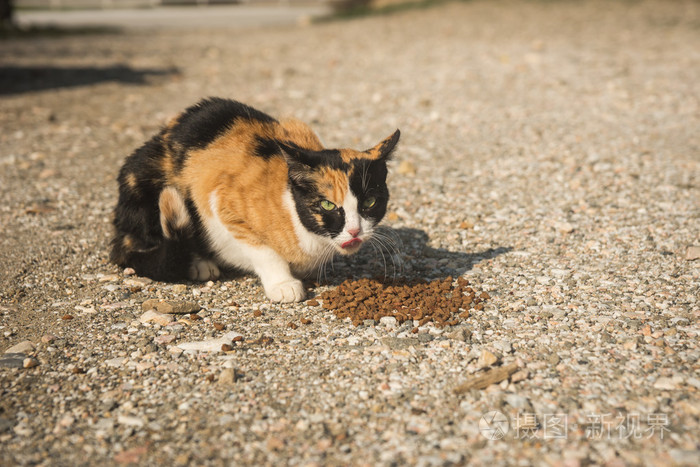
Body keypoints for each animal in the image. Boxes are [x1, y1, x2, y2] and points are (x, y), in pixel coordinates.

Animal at [110, 98, 400, 304]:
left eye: (370, 202)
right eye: (328, 205)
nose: (354, 230)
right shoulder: (221, 201)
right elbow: (263, 250)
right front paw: (283, 284)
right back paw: (199, 264)